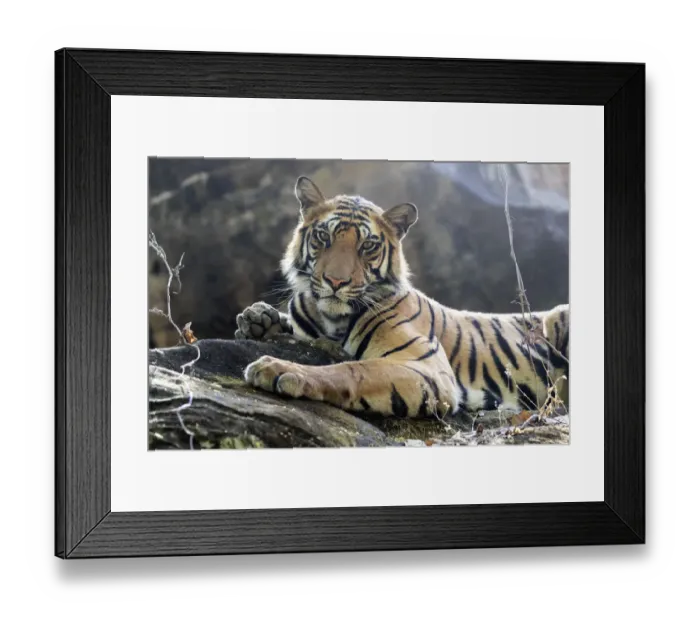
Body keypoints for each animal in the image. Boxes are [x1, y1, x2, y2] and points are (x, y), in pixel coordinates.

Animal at [236, 176, 569, 419]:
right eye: (323, 237)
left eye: (368, 246)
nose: (335, 281)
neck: (330, 319)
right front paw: (257, 318)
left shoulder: (426, 367)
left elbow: (352, 369)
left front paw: (280, 369)